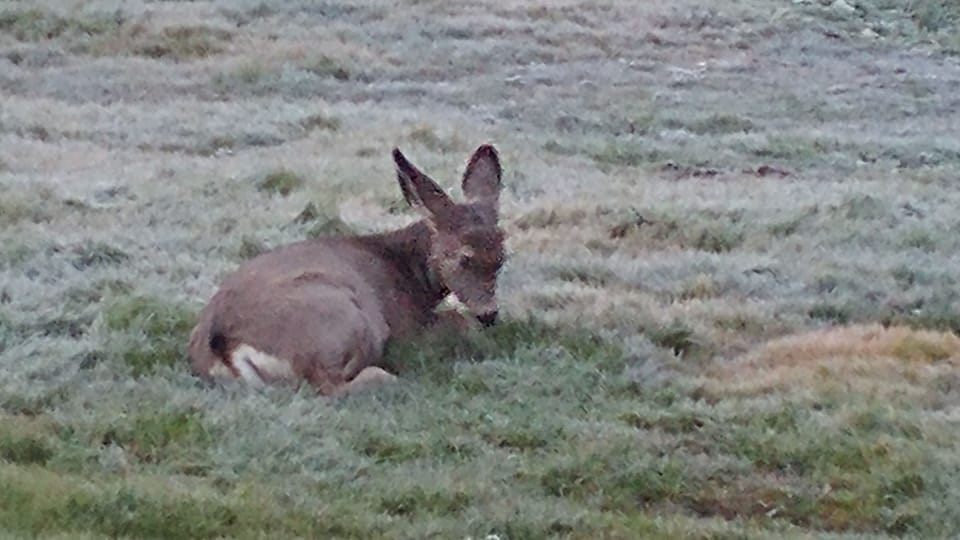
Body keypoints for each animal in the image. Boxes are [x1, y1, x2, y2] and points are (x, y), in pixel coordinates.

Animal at [187, 144, 505, 395]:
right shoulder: (407, 327)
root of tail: (221, 344)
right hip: (346, 320)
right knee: (328, 384)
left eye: (502, 257)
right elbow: (458, 320)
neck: (408, 273)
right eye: (464, 258)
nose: (489, 314)